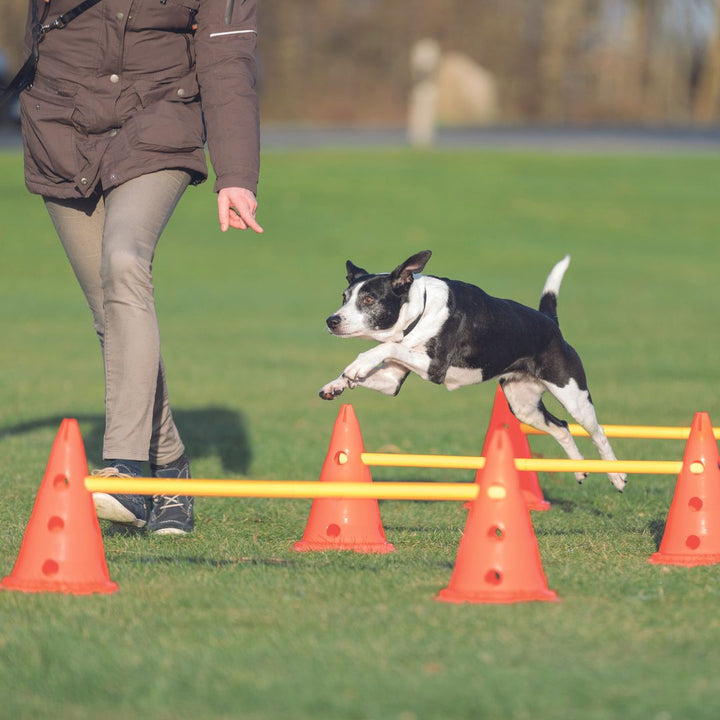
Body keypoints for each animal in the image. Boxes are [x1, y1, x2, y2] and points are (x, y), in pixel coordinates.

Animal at [318, 250, 628, 492]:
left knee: (597, 432)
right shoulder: (391, 379)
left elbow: (386, 347)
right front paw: (337, 384)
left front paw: (358, 364)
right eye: (344, 296)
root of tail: (550, 322)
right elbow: (382, 360)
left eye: (369, 299)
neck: (419, 309)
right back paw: (580, 469)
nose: (332, 321)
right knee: (561, 427)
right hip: (523, 405)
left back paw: (618, 476)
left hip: (573, 394)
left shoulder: (434, 366)